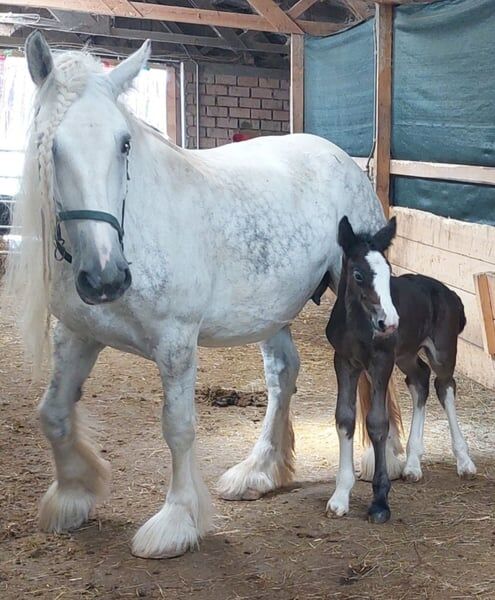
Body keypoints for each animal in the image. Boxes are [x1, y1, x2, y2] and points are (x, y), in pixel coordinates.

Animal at [5, 31, 402, 556]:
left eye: (124, 143)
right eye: (50, 145)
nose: (106, 279)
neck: (135, 230)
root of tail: (343, 160)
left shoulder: (176, 343)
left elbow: (178, 427)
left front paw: (176, 521)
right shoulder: (76, 334)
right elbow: (52, 413)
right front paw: (73, 494)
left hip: (360, 291)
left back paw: (392, 458)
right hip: (270, 314)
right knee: (282, 375)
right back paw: (259, 472)